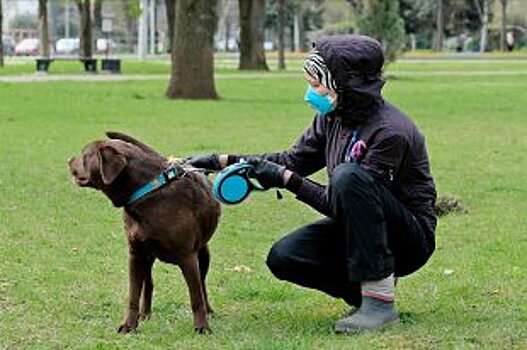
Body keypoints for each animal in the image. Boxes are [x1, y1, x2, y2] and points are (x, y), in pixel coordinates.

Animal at [67, 132, 221, 334]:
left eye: (85, 155)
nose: (69, 160)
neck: (147, 193)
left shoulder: (188, 257)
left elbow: (196, 297)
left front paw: (202, 327)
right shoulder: (136, 254)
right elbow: (133, 295)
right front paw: (129, 325)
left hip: (203, 254)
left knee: (202, 285)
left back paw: (208, 311)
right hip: (148, 256)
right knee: (148, 284)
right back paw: (145, 313)